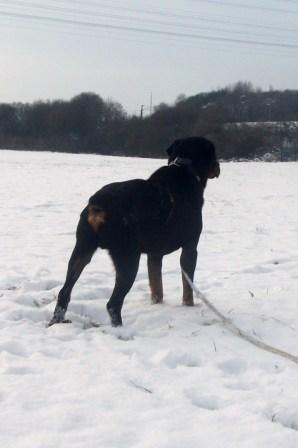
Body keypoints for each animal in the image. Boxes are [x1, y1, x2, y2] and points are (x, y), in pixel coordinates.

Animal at [49, 135, 220, 328]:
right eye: (213, 153)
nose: (218, 166)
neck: (185, 167)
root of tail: (97, 207)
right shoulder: (190, 246)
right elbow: (187, 287)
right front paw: (189, 307)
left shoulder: (154, 254)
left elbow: (157, 286)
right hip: (128, 256)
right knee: (113, 303)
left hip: (82, 250)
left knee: (64, 292)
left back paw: (57, 321)